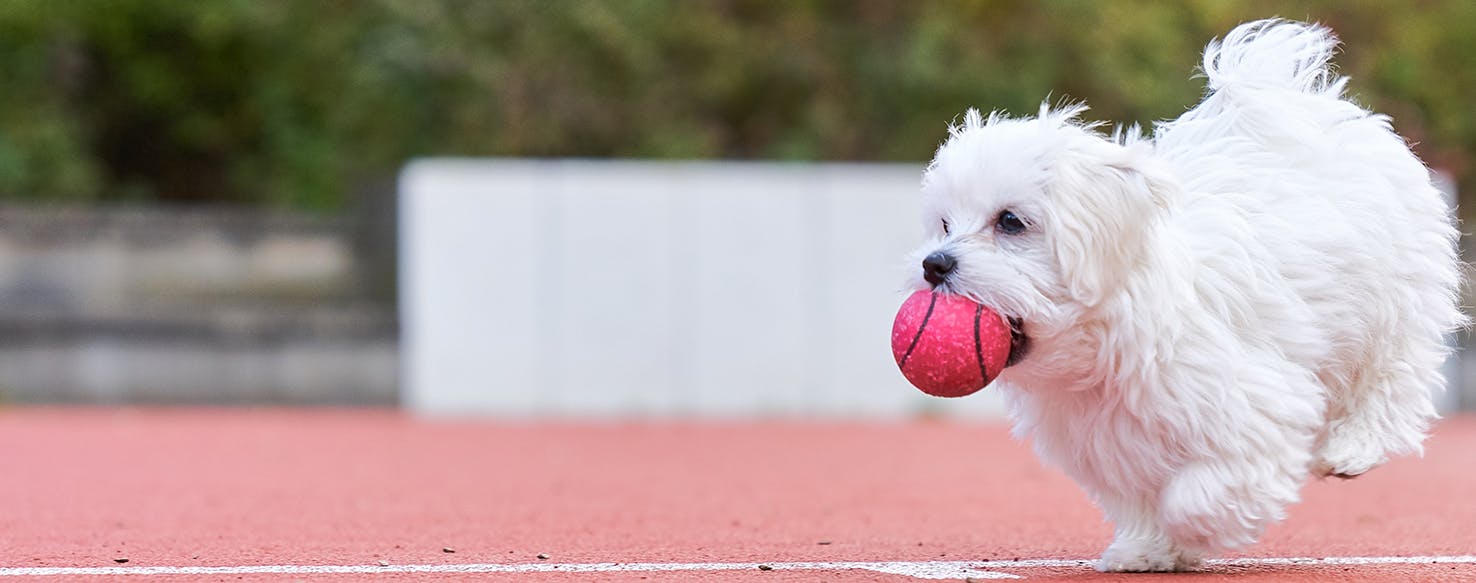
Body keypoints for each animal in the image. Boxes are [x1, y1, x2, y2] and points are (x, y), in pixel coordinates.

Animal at [909, 19, 1464, 575]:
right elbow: (1140, 498)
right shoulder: (1108, 444)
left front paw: (1199, 530)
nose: (934, 265)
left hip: (1395, 302)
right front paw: (1146, 550)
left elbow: (1197, 493)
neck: (1108, 331)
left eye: (1010, 222)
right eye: (945, 224)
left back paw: (1352, 447)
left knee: (1395, 376)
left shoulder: (1254, 407)